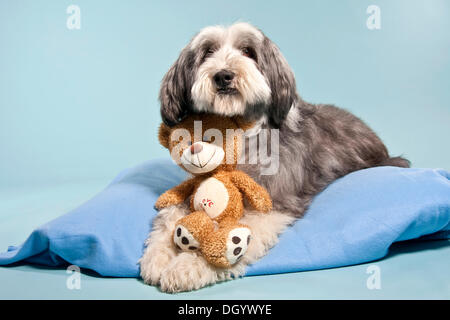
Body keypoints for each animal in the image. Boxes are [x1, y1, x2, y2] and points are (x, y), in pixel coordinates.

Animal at [140, 22, 408, 292]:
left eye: (248, 51)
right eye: (208, 52)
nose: (223, 75)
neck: (239, 131)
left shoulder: (272, 201)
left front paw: (187, 266)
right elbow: (170, 216)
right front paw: (158, 256)